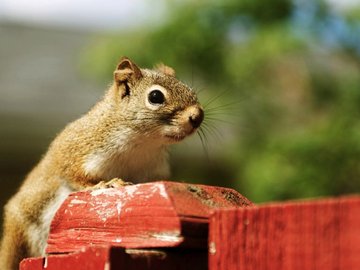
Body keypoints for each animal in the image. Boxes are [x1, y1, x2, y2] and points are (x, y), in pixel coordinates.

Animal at [0, 57, 202, 270]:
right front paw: (105, 184)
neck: (141, 143)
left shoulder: (153, 171)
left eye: (191, 91)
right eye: (155, 96)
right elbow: (72, 175)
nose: (198, 116)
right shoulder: (74, 151)